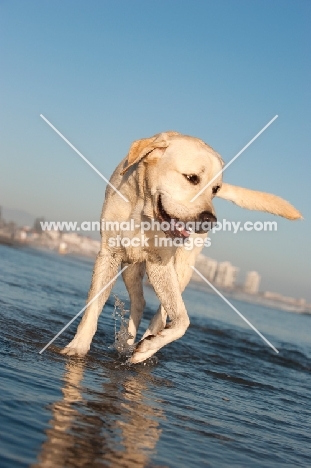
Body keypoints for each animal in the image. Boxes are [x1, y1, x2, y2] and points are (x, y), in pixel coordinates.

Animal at [60, 131, 302, 362]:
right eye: (192, 178)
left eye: (215, 189)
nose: (210, 220)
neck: (143, 213)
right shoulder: (109, 255)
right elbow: (93, 307)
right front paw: (77, 347)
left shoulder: (161, 264)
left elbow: (182, 321)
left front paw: (148, 346)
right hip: (130, 268)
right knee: (140, 302)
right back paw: (128, 341)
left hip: (181, 269)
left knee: (163, 314)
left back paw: (146, 346)